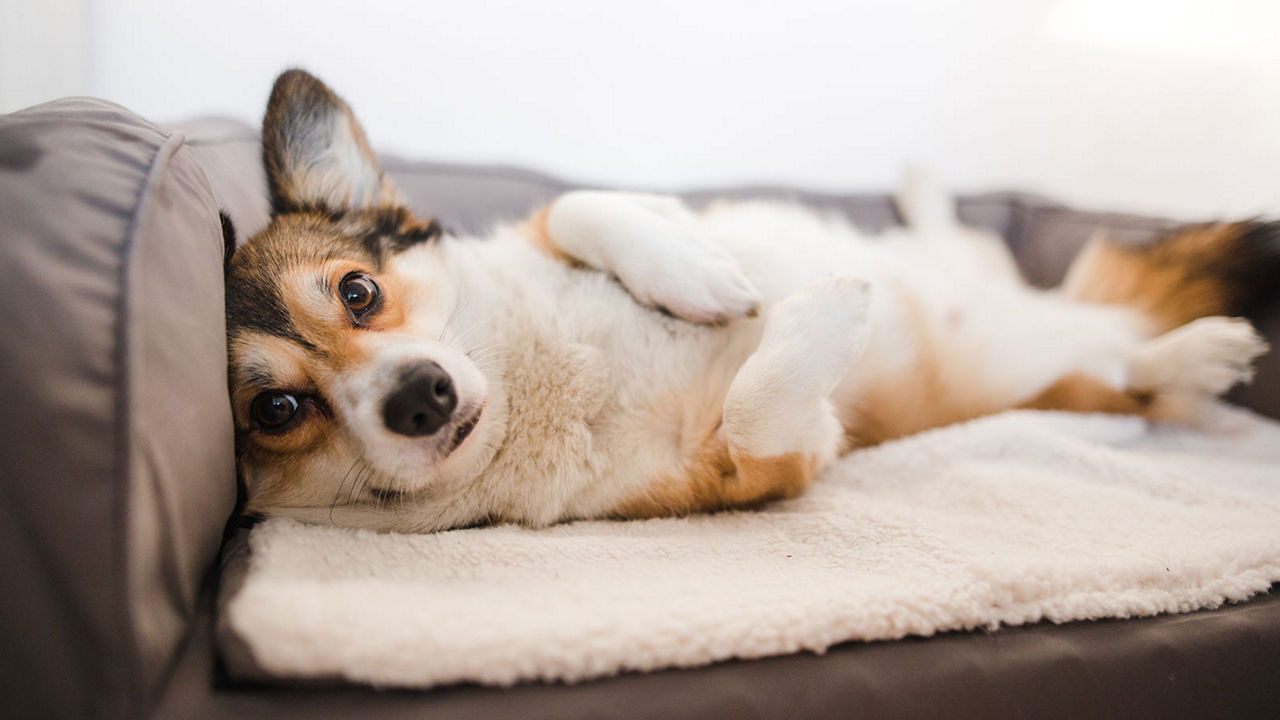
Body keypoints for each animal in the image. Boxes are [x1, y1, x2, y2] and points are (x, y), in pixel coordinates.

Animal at [225, 71, 1274, 532]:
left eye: (359, 291)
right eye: (277, 410)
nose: (420, 398)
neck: (538, 380)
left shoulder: (560, 224)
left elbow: (582, 204)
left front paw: (700, 276)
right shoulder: (757, 468)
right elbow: (760, 401)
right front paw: (829, 313)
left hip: (993, 280)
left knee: (982, 254)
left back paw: (929, 188)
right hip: (1059, 387)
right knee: (1132, 376)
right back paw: (1200, 354)